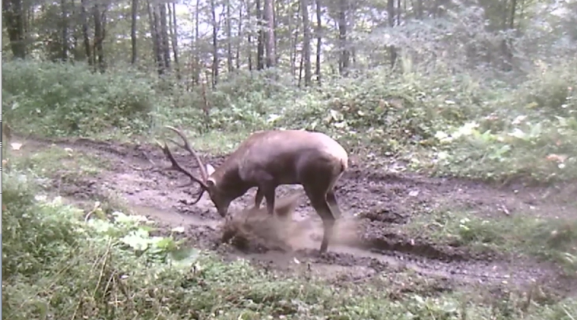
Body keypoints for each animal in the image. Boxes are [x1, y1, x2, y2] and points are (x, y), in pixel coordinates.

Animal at [156, 125, 352, 252]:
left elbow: (269, 210)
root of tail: (343, 160)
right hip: (329, 187)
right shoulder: (261, 183)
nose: (222, 212)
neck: (241, 172)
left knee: (329, 217)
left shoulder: (267, 179)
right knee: (339, 214)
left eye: (213, 194)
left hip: (313, 184)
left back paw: (321, 250)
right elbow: (257, 202)